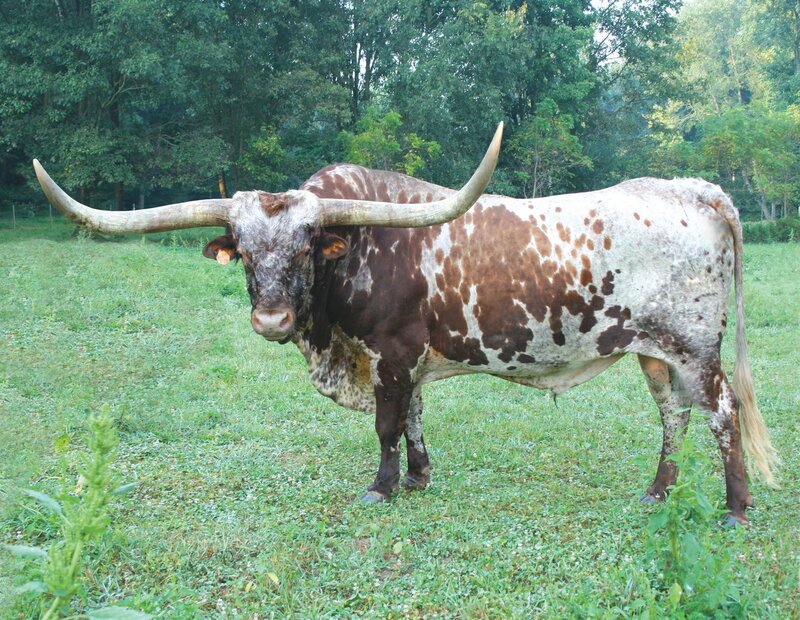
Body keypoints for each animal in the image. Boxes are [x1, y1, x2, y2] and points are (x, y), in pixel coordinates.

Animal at [33, 123, 777, 525]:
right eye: (242, 250)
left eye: (308, 246)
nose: (271, 318)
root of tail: (695, 190)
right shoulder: (408, 359)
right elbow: (416, 416)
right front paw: (419, 478)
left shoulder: (388, 353)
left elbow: (388, 422)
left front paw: (382, 487)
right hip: (655, 351)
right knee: (673, 416)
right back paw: (657, 492)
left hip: (698, 348)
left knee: (721, 415)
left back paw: (736, 508)